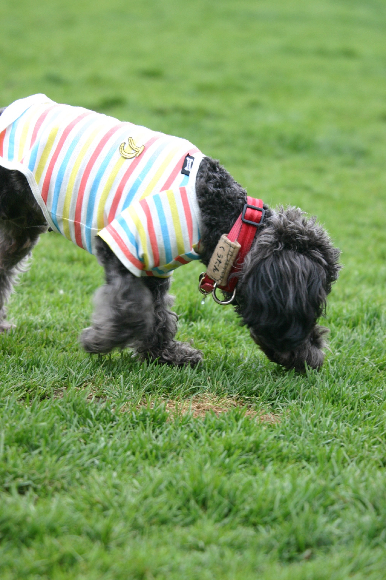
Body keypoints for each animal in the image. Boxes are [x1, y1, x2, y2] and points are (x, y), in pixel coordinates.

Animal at [0, 95, 340, 372]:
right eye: (314, 308)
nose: (314, 361)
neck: (225, 219)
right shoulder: (123, 243)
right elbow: (134, 308)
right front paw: (100, 341)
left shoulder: (153, 263)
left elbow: (159, 313)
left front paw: (164, 355)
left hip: (19, 232)